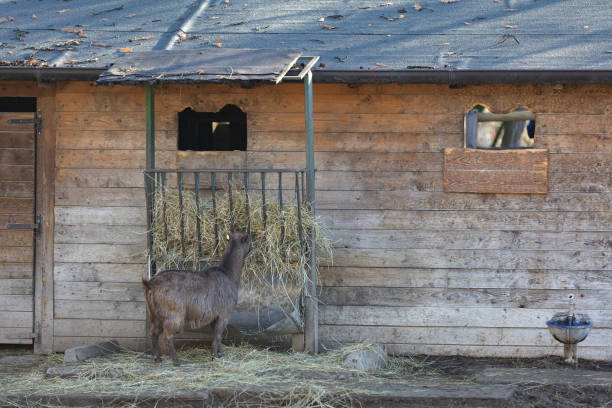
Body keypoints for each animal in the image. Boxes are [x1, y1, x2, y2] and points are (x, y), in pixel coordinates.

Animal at [142, 231, 251, 364]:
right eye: (248, 240)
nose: (251, 247)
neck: (228, 272)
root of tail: (150, 284)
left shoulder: (214, 317)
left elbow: (215, 335)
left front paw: (217, 354)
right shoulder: (224, 314)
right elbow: (218, 336)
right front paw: (216, 355)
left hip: (154, 314)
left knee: (154, 333)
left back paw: (157, 358)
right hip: (173, 314)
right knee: (168, 335)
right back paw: (176, 360)